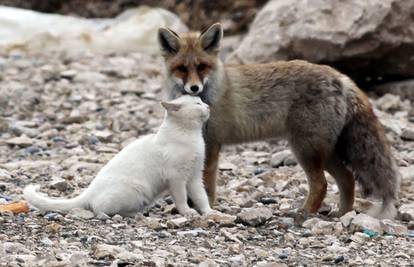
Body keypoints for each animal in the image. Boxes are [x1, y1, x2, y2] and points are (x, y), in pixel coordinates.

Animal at [23, 96, 212, 218]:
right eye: (198, 103)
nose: (209, 106)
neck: (192, 136)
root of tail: (89, 191)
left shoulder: (194, 177)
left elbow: (201, 197)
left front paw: (209, 212)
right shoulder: (176, 178)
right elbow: (181, 198)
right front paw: (188, 212)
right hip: (136, 189)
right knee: (99, 208)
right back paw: (130, 215)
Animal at [158, 23, 402, 220]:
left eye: (202, 66)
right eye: (182, 68)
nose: (194, 88)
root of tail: (341, 77)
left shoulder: (212, 144)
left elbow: (206, 185)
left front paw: (205, 208)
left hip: (305, 149)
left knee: (321, 184)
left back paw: (304, 214)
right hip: (324, 152)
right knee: (348, 179)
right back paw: (343, 214)